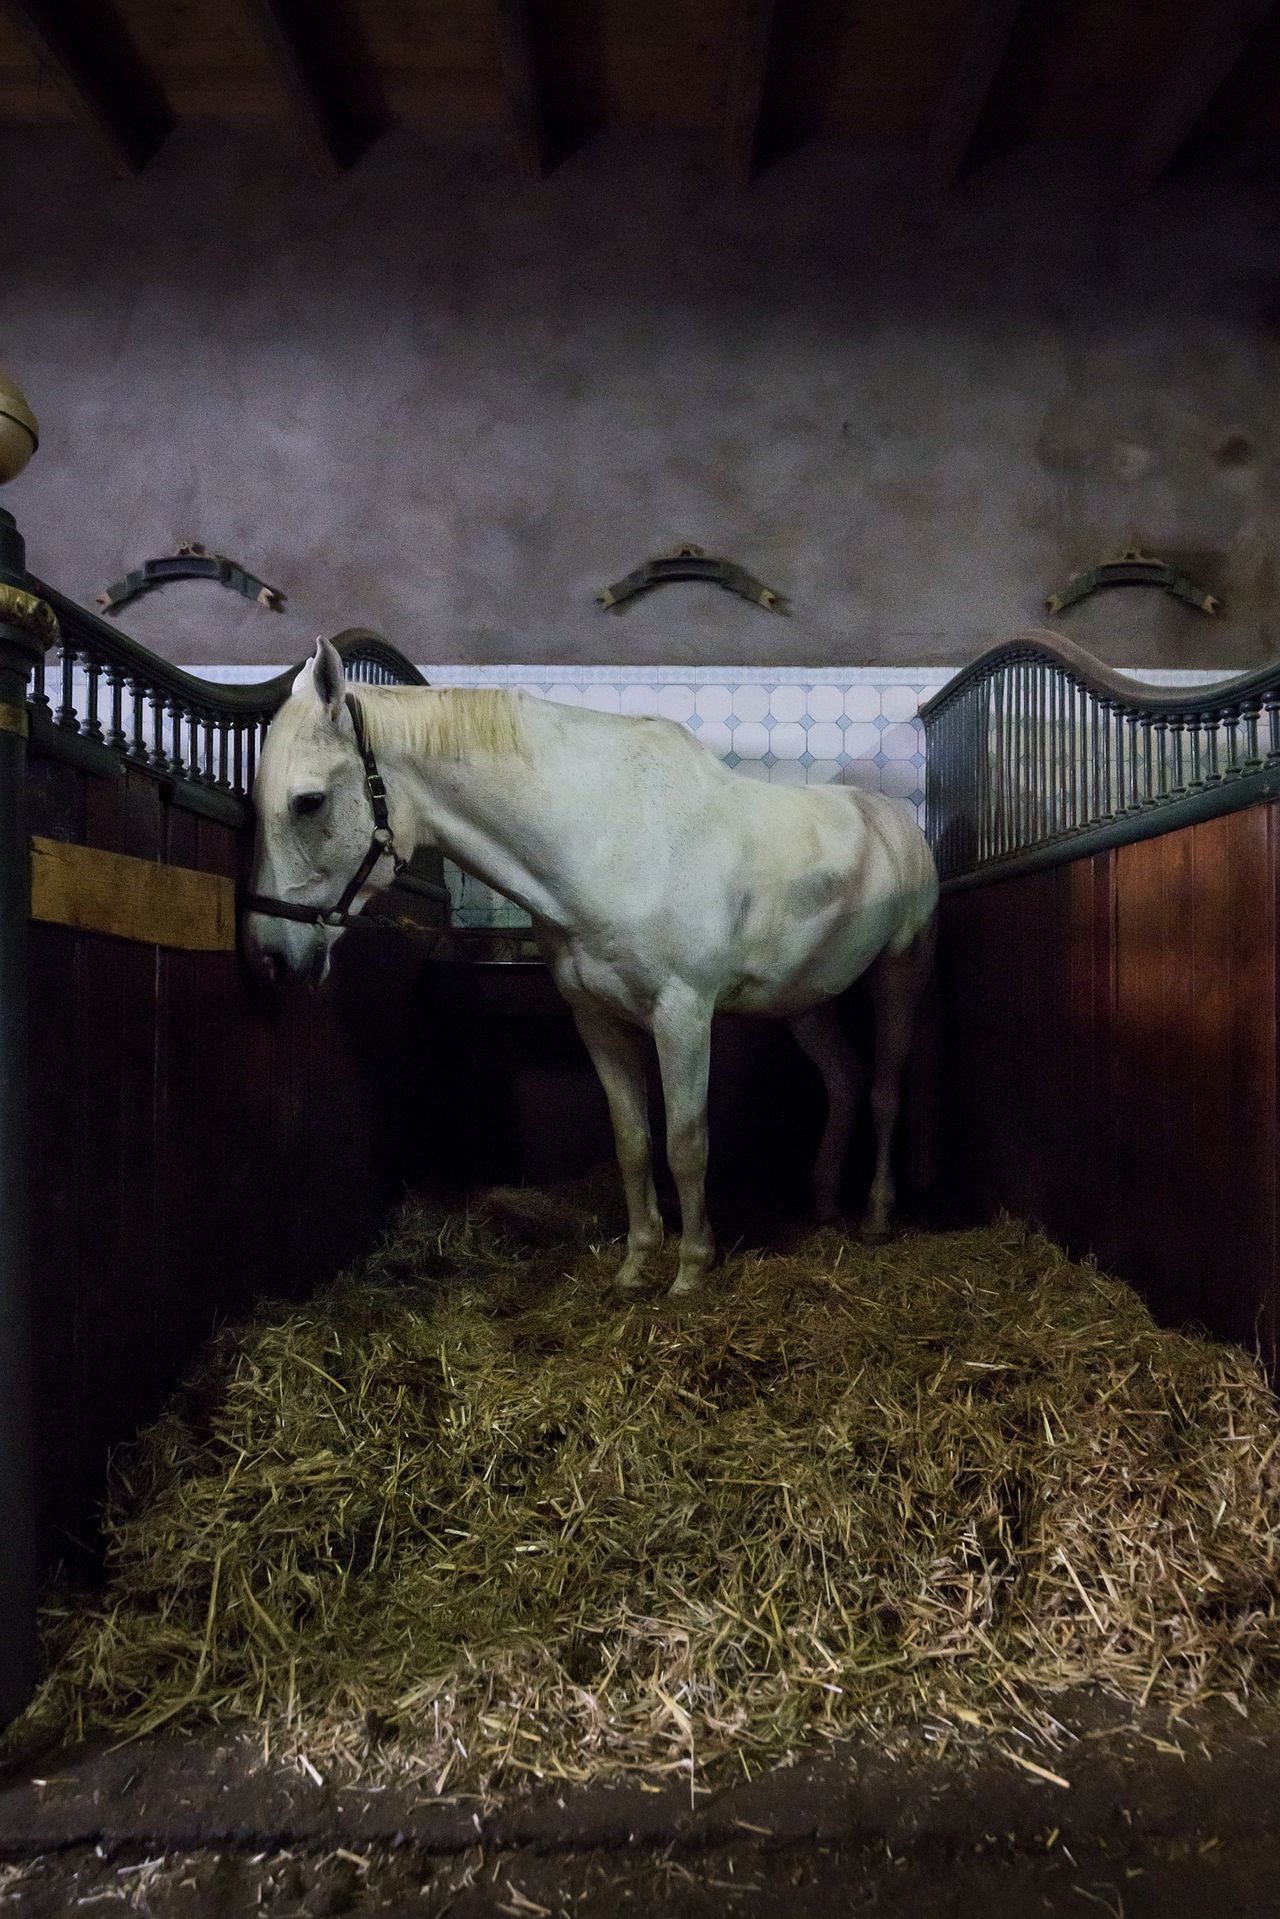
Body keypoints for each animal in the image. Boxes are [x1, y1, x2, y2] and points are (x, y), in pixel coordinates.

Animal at [245, 640, 940, 1289]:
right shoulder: (597, 1020)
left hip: (900, 977)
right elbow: (633, 1142)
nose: (270, 954)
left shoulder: (683, 1016)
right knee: (844, 1083)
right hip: (808, 1000)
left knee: (883, 1091)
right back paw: (823, 1205)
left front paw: (692, 1269)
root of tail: (898, 823)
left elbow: (687, 1143)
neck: (606, 839)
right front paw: (637, 1265)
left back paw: (877, 1217)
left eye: (308, 802)